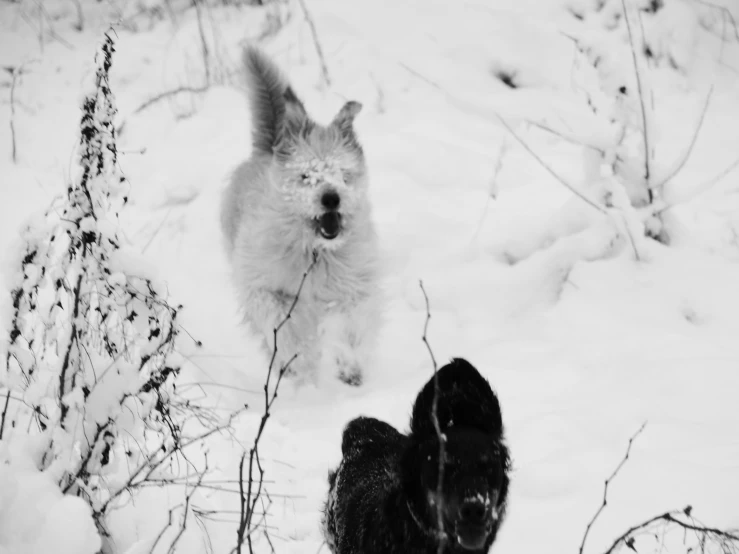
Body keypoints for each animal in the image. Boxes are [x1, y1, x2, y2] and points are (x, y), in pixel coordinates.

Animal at [221, 47, 382, 384]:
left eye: (343, 173)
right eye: (306, 175)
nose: (331, 199)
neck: (315, 252)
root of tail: (267, 149)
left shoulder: (354, 287)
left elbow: (352, 326)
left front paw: (349, 365)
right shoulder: (264, 288)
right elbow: (286, 328)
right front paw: (301, 362)